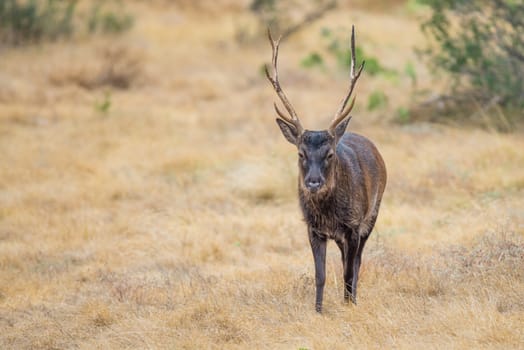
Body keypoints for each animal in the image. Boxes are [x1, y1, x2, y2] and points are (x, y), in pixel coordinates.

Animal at [266, 26, 384, 314]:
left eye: (329, 153)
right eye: (301, 153)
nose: (313, 182)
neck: (329, 214)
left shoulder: (353, 224)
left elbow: (349, 271)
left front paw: (349, 305)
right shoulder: (313, 228)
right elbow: (320, 274)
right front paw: (318, 310)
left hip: (372, 214)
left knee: (356, 262)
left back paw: (352, 298)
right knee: (344, 260)